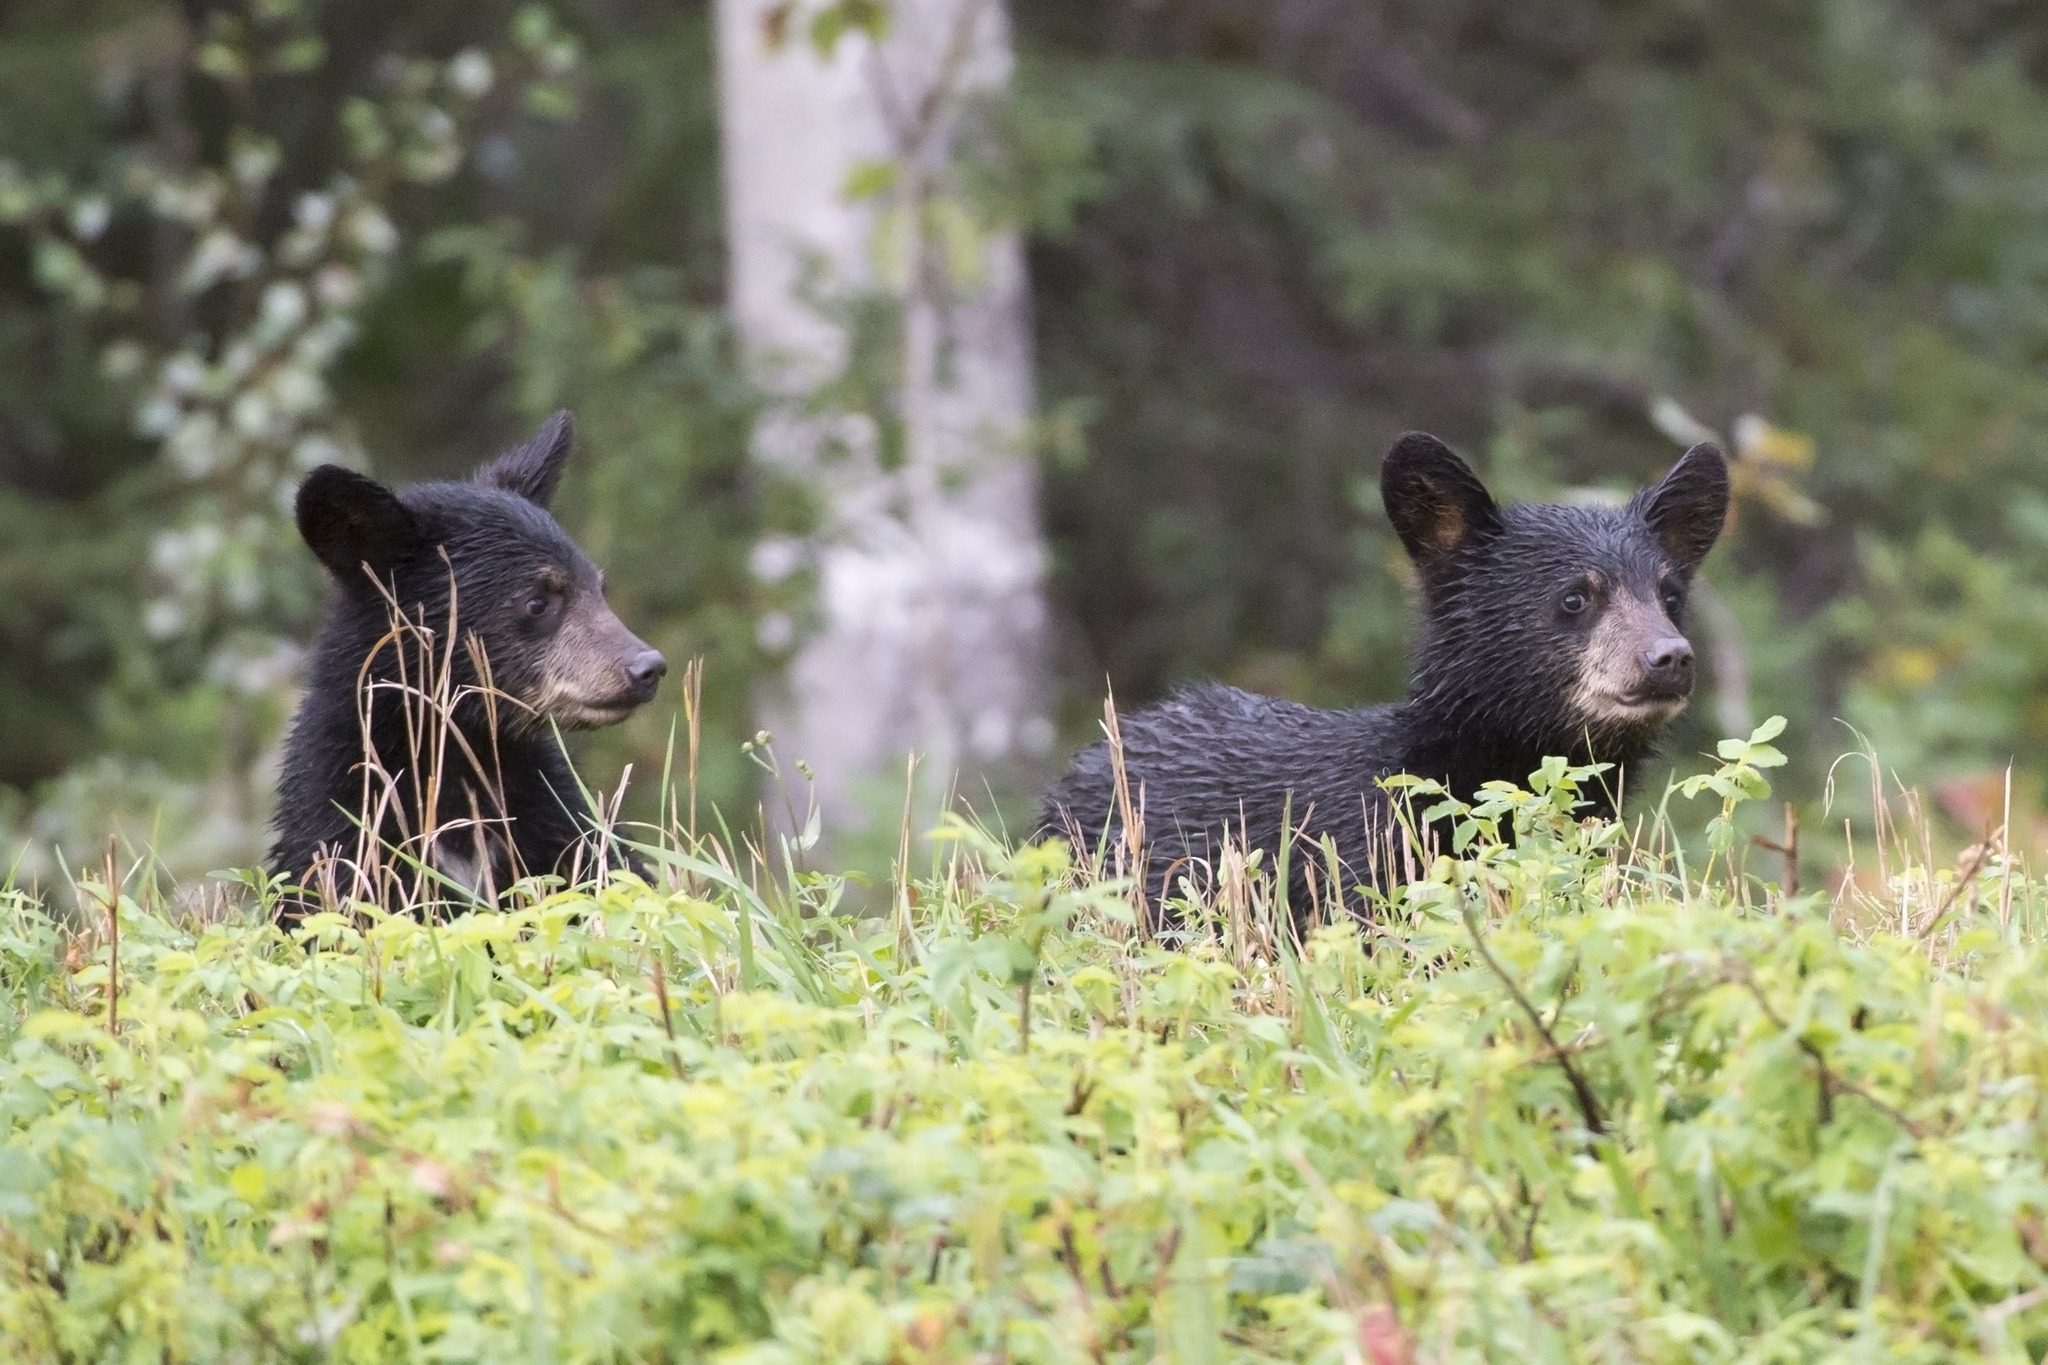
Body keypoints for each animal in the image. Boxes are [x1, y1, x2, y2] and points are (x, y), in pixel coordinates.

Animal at [268, 411, 666, 917]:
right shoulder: (342, 830)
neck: (458, 766)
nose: (647, 667)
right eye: (537, 600)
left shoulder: (558, 820)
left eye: (598, 587)